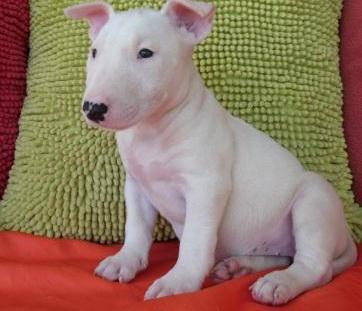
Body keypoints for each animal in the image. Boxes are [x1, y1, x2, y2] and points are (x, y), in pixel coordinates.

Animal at [64, 0, 356, 306]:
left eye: (145, 53)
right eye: (95, 52)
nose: (93, 108)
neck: (154, 130)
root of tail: (346, 235)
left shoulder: (206, 186)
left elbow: (195, 240)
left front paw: (178, 281)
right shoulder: (136, 186)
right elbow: (137, 229)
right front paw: (125, 260)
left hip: (313, 200)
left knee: (315, 266)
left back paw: (279, 283)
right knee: (284, 256)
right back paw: (238, 267)